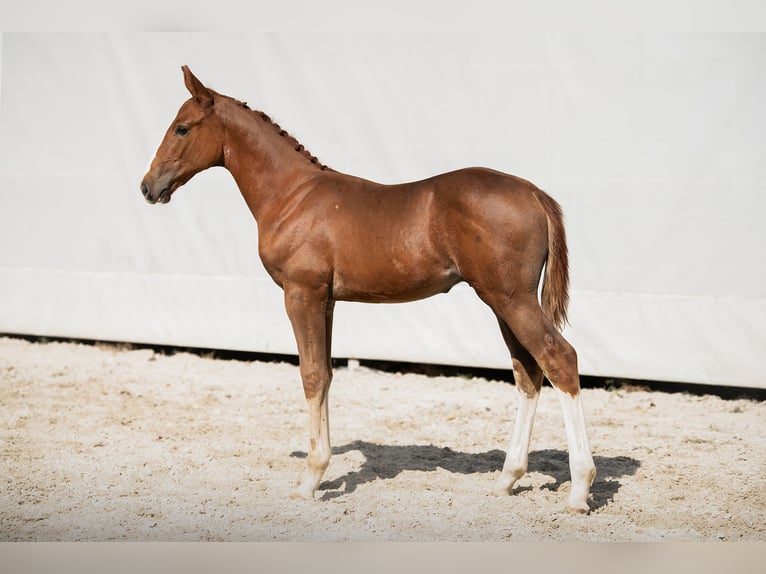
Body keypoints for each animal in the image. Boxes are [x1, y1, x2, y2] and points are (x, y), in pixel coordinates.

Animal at [142, 65, 600, 516]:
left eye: (182, 128)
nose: (148, 187)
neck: (292, 196)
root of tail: (533, 192)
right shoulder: (326, 302)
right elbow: (326, 374)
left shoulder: (301, 294)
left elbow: (310, 374)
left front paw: (309, 480)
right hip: (501, 302)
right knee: (529, 373)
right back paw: (507, 479)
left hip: (511, 299)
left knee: (559, 359)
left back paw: (579, 491)